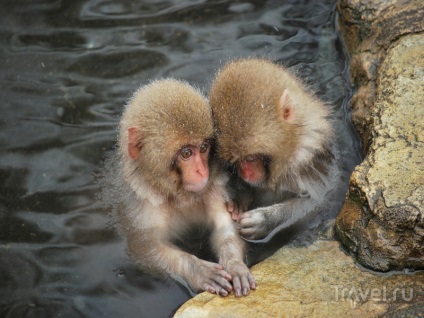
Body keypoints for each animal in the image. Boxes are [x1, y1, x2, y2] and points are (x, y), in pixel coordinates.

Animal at [102, 78, 255, 296]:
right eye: (186, 154)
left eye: (203, 148)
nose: (201, 171)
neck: (179, 195)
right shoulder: (142, 205)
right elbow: (147, 250)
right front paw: (197, 269)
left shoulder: (214, 186)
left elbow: (224, 226)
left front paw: (234, 265)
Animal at [208, 57, 334, 241]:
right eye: (235, 162)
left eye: (250, 158)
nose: (245, 174)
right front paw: (240, 197)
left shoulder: (309, 161)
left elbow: (320, 202)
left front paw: (267, 219)